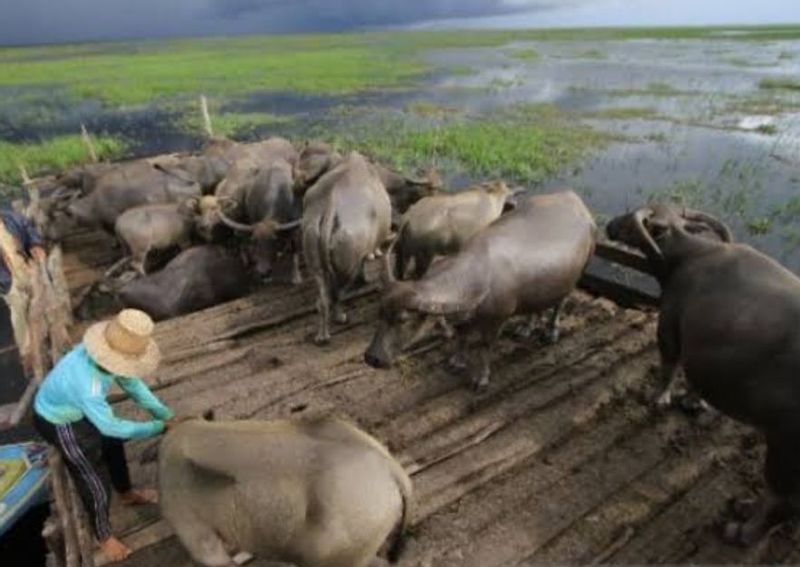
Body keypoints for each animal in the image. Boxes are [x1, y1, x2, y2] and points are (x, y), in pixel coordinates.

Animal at [302, 152, 392, 346]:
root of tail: (330, 205)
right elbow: (370, 252)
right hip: (350, 241)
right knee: (340, 286)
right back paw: (340, 318)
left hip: (311, 232)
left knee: (323, 287)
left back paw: (322, 336)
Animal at [366, 191, 596, 390]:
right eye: (380, 312)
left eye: (403, 320)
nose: (372, 358)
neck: (478, 278)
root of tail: (574, 199)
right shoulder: (465, 316)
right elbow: (462, 336)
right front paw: (457, 361)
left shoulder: (497, 320)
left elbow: (485, 346)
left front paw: (481, 378)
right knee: (538, 304)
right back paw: (526, 328)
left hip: (578, 273)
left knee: (560, 303)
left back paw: (552, 332)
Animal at [608, 204, 800, 544]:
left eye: (632, 222)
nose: (608, 225)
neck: (690, 255)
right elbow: (696, 378)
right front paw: (692, 402)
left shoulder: (668, 329)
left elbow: (669, 368)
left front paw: (660, 399)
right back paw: (745, 507)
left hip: (784, 446)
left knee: (781, 502)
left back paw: (742, 530)